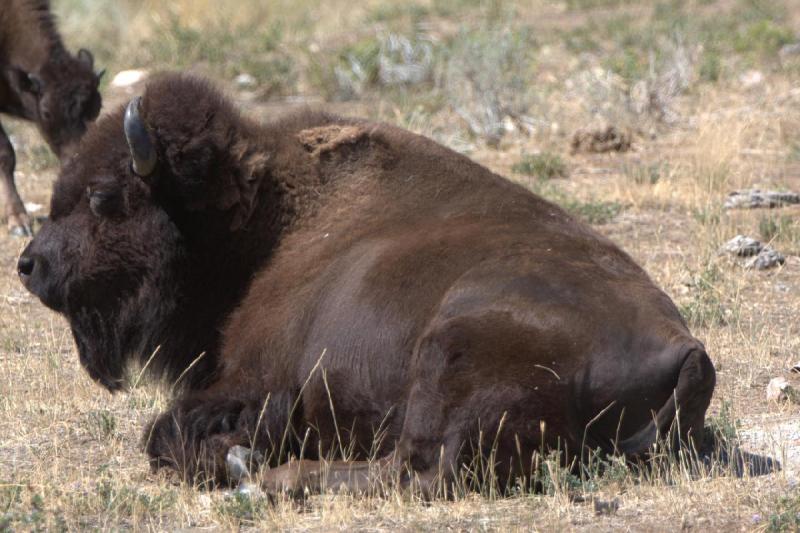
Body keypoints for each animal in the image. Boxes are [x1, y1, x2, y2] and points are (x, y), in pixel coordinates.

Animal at [18, 74, 716, 494]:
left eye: (105, 197)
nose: (29, 266)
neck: (263, 216)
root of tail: (688, 350)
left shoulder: (250, 380)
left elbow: (163, 435)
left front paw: (235, 455)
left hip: (450, 351)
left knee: (416, 470)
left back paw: (271, 477)